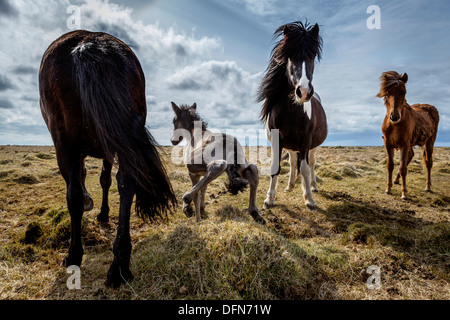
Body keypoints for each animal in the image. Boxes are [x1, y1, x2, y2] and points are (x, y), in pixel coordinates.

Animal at [38, 30, 177, 288]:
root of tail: (89, 43)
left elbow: (87, 181)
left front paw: (94, 207)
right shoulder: (109, 148)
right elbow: (106, 180)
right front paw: (101, 211)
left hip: (65, 144)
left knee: (73, 193)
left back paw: (75, 254)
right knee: (126, 183)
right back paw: (119, 264)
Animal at [258, 21, 328, 210]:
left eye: (312, 56)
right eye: (290, 56)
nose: (303, 92)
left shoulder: (306, 140)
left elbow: (304, 169)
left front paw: (309, 199)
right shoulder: (277, 140)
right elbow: (276, 167)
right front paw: (269, 198)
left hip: (312, 146)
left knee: (310, 163)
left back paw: (313, 186)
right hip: (290, 146)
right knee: (292, 162)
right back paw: (290, 186)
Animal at [376, 71, 440, 199]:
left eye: (404, 92)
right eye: (388, 93)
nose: (395, 116)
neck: (394, 125)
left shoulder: (404, 144)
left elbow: (403, 168)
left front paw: (404, 193)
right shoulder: (388, 144)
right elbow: (390, 165)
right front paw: (388, 189)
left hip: (430, 142)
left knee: (429, 163)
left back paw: (428, 186)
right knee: (411, 156)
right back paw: (396, 180)